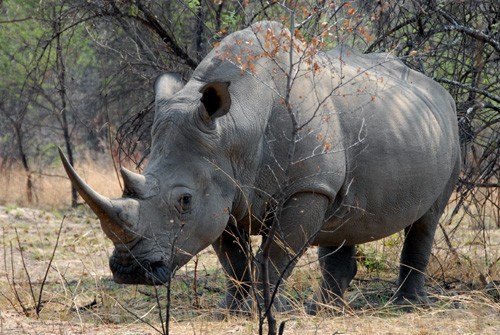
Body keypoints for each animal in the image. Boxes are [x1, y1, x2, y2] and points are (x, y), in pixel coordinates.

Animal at [61, 22, 460, 314]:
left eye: (184, 200)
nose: (130, 272)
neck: (235, 126)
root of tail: (437, 88)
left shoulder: (303, 188)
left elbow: (275, 253)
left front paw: (272, 310)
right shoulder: (222, 187)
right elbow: (233, 260)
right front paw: (232, 312)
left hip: (451, 128)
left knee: (428, 218)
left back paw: (407, 306)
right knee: (342, 220)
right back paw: (325, 311)